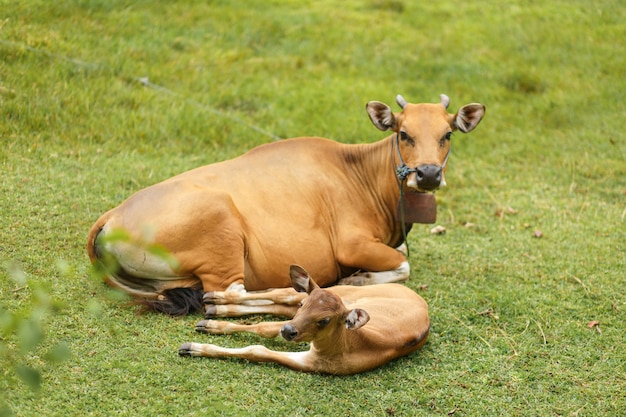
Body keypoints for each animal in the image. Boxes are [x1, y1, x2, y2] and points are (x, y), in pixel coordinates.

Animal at [86, 95, 482, 316]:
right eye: (403, 134)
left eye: (447, 135)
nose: (428, 174)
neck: (359, 171)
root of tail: (113, 215)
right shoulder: (352, 244)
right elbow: (404, 265)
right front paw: (358, 277)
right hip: (220, 229)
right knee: (227, 292)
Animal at [178, 264, 426, 376]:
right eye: (304, 306)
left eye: (325, 320)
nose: (288, 331)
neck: (360, 344)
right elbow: (264, 330)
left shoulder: (310, 361)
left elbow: (258, 348)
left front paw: (192, 346)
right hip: (341, 290)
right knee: (285, 293)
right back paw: (214, 299)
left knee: (279, 304)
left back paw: (214, 308)